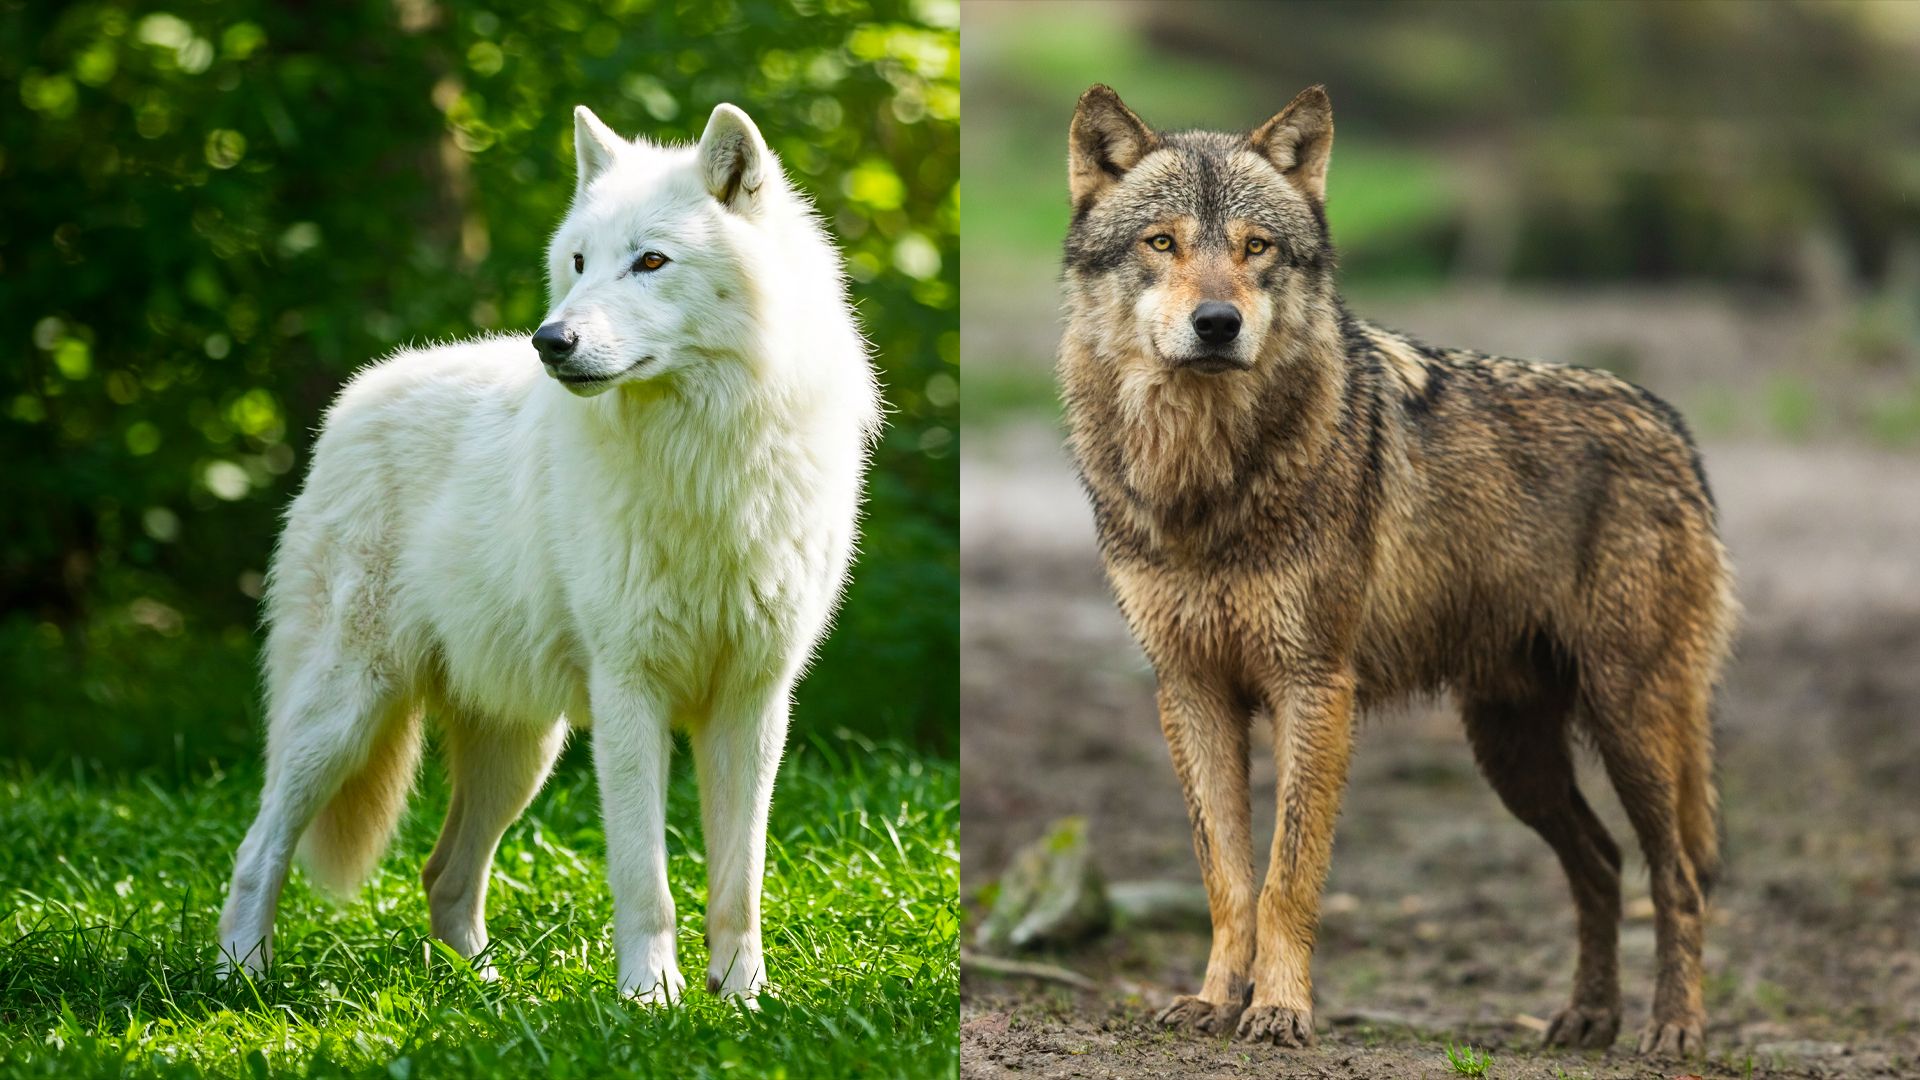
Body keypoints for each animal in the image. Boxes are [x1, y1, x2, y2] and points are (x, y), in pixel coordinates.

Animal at [217, 103, 880, 1003]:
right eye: (578, 262)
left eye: (650, 260)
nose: (550, 340)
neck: (704, 461)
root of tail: (358, 395)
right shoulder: (631, 691)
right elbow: (645, 878)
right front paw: (651, 999)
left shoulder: (753, 701)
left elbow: (738, 882)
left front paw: (743, 998)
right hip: (345, 714)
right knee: (259, 847)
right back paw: (241, 977)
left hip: (520, 750)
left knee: (444, 873)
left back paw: (487, 994)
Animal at [1056, 85, 1733, 1056]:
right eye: (1162, 243)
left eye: (1255, 248)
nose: (1217, 324)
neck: (1206, 480)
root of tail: (1673, 427)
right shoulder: (1190, 691)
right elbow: (1227, 877)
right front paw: (1214, 1002)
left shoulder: (1314, 686)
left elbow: (1288, 875)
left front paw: (1280, 1010)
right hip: (1513, 750)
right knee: (1602, 864)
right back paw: (1585, 1018)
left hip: (1628, 720)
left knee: (1676, 876)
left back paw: (1673, 1030)